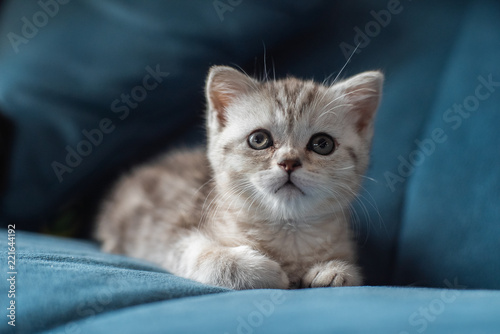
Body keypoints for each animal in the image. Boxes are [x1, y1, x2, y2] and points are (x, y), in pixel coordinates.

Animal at [94, 66, 382, 290]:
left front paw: (334, 270)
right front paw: (261, 271)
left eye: (322, 144)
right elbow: (201, 255)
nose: (289, 162)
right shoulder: (170, 234)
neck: (288, 228)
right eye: (259, 140)